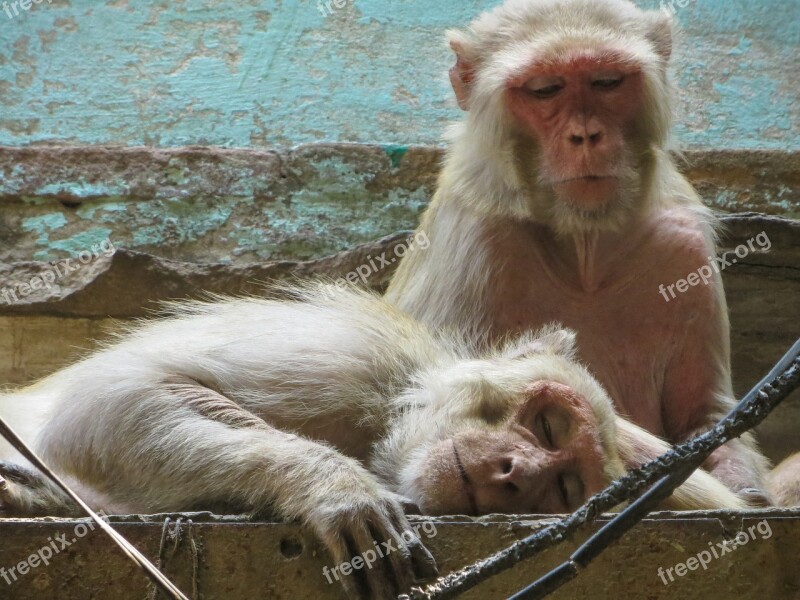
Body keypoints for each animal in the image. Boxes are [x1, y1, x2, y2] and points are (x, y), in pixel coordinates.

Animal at [1, 284, 744, 596]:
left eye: (563, 485)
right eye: (546, 426)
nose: (515, 471)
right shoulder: (348, 364)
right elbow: (106, 404)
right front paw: (334, 486)